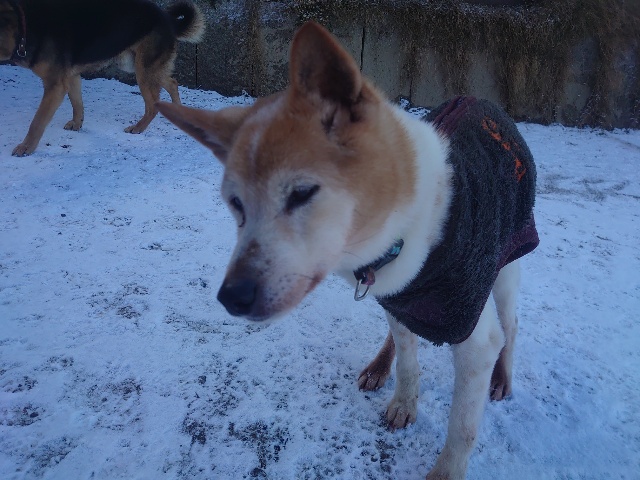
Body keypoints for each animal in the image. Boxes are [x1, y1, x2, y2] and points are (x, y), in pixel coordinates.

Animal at [0, 0, 204, 156]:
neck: (24, 25)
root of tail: (168, 19)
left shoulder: (55, 86)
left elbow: (37, 122)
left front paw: (26, 147)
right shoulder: (70, 78)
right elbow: (77, 104)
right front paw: (77, 124)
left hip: (142, 71)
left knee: (153, 105)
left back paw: (138, 128)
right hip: (139, 66)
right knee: (172, 83)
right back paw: (179, 112)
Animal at [157, 21, 539, 480]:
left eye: (301, 193)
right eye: (236, 205)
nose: (231, 297)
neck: (403, 230)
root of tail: (485, 100)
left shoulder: (474, 340)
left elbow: (461, 427)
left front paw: (446, 466)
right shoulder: (399, 298)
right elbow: (408, 362)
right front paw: (404, 400)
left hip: (505, 269)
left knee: (512, 325)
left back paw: (503, 376)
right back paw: (380, 365)